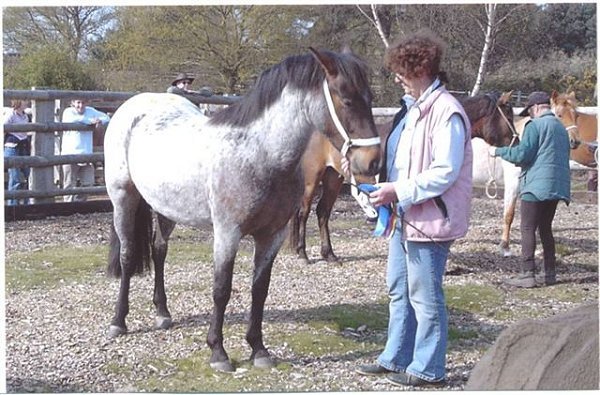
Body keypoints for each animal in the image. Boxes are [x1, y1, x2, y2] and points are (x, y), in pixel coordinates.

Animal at [103, 48, 380, 372]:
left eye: (370, 97)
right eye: (346, 99)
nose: (372, 161)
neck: (259, 155)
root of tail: (135, 105)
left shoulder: (272, 235)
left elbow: (260, 289)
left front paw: (258, 349)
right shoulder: (227, 234)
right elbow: (222, 289)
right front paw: (218, 352)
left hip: (166, 208)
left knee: (159, 250)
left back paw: (162, 313)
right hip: (123, 197)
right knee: (127, 255)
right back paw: (118, 321)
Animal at [290, 92, 516, 266]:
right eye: (508, 116)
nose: (517, 142)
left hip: (333, 178)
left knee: (322, 212)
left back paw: (329, 254)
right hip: (313, 178)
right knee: (304, 211)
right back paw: (302, 253)